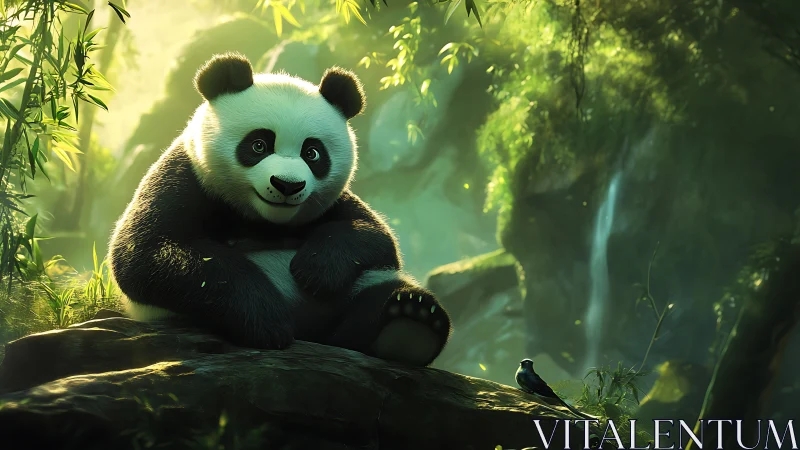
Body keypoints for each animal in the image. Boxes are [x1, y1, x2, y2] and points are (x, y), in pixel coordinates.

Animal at [108, 53, 452, 367]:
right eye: (259, 144)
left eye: (312, 153)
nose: (287, 185)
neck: (264, 220)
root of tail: (311, 331)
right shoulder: (187, 177)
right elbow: (146, 253)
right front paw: (265, 322)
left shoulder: (332, 204)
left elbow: (376, 236)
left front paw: (316, 270)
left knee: (379, 298)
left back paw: (410, 323)